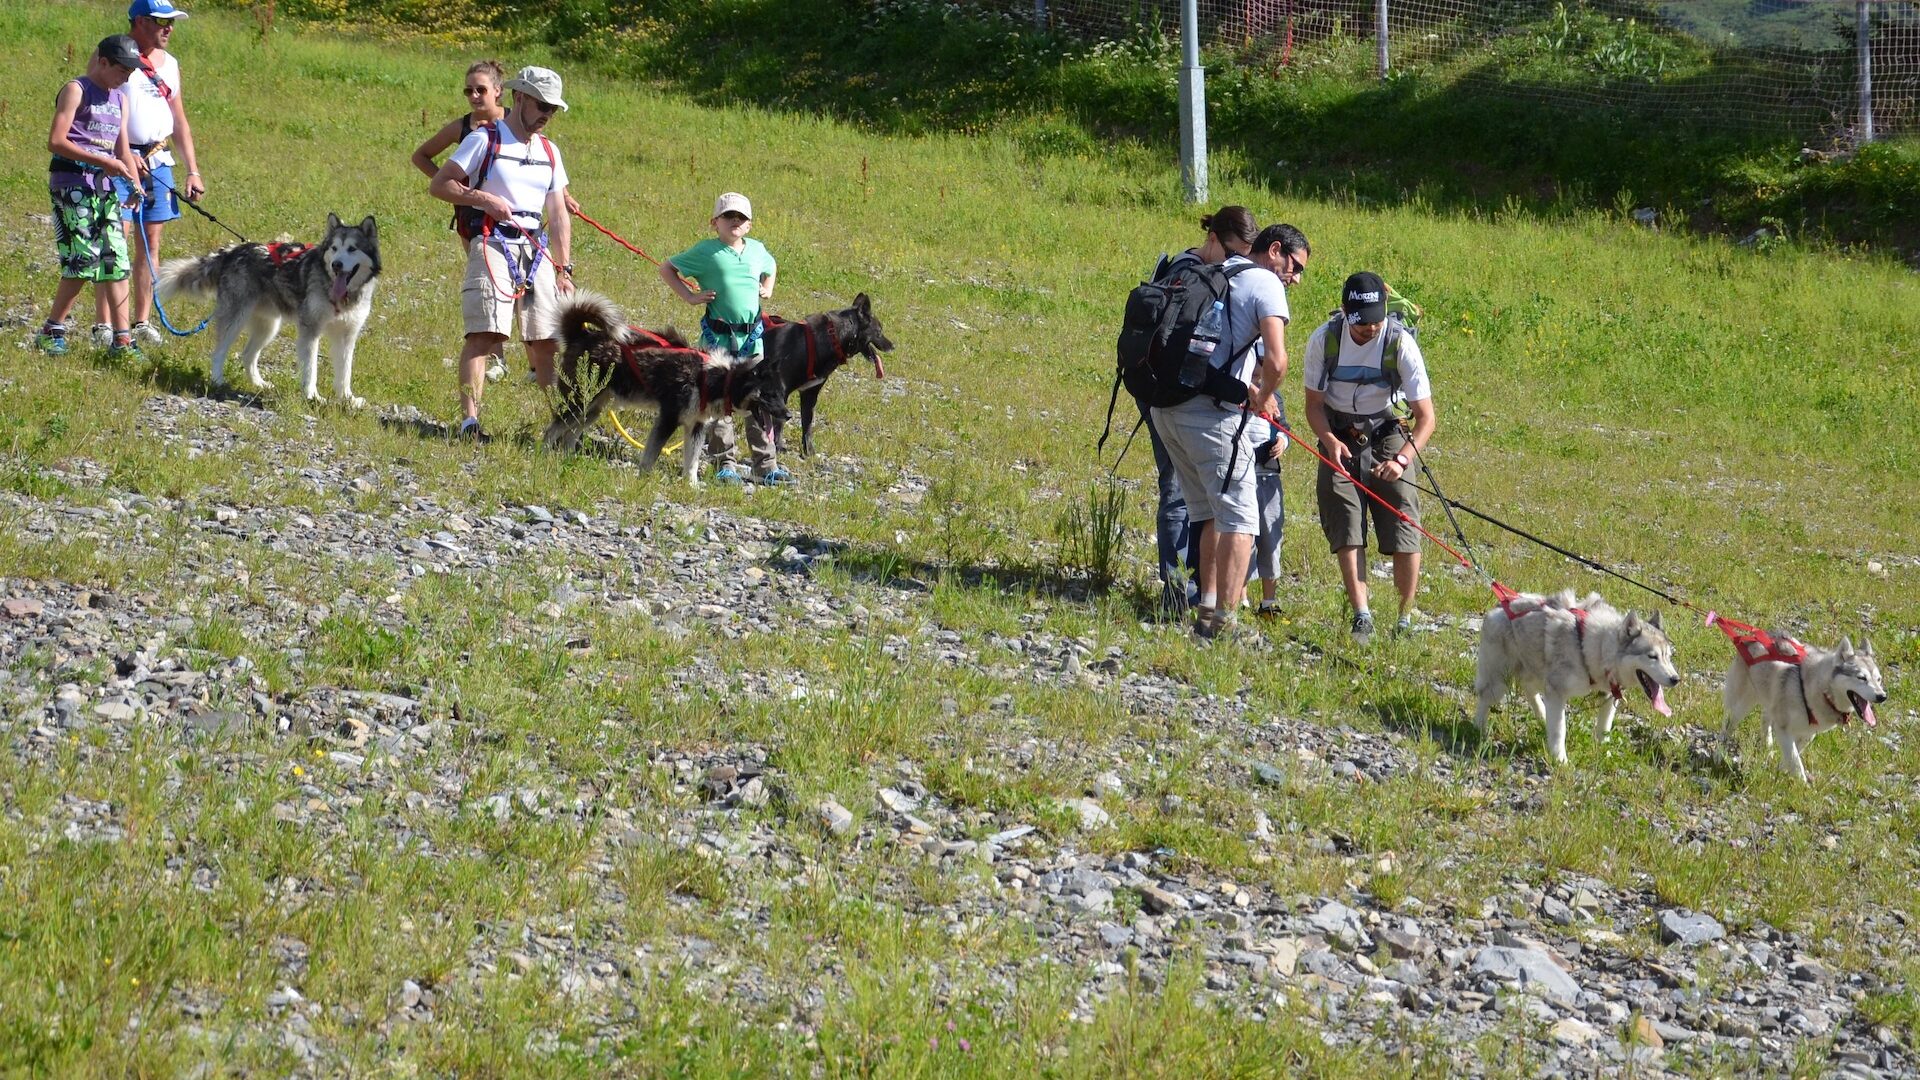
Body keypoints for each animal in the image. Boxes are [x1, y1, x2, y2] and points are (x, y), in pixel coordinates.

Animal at [155, 212, 380, 405]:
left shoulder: (347, 335)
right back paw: (218, 381)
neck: (342, 295)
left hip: (268, 327)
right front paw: (312, 396)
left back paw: (259, 384)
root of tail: (232, 251)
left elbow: (345, 371)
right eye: (334, 248)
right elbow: (310, 369)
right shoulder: (310, 330)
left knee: (247, 355)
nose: (336, 265)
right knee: (218, 352)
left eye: (352, 249)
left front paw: (347, 398)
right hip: (235, 320)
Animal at [541, 290, 787, 484]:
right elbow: (651, 454)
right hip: (579, 401)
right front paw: (643, 479)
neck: (718, 377)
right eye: (769, 394)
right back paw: (541, 455)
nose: (789, 415)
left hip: (591, 409)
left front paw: (691, 486)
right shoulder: (667, 418)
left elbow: (691, 462)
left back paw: (567, 459)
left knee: (570, 434)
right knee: (552, 430)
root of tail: (582, 333)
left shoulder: (696, 426)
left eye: (782, 395)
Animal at [756, 290, 890, 453]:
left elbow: (807, 425)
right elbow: (779, 423)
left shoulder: (810, 394)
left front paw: (809, 452)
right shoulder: (780, 391)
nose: (893, 346)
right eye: (879, 331)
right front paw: (778, 446)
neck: (833, 339)